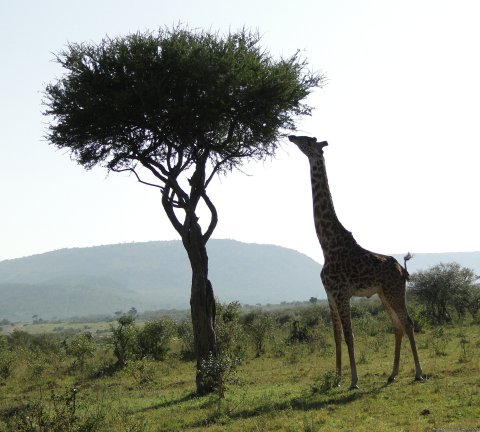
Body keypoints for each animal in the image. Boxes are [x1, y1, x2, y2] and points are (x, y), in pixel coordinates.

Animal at [286, 134, 422, 388]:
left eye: (307, 140)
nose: (290, 136)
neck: (327, 245)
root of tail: (402, 270)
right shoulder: (330, 295)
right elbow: (337, 336)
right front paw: (336, 378)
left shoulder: (341, 293)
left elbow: (350, 336)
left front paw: (354, 380)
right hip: (383, 294)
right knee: (397, 326)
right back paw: (392, 374)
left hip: (394, 292)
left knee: (408, 323)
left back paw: (418, 372)